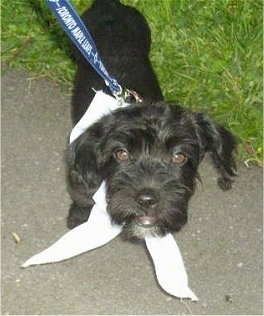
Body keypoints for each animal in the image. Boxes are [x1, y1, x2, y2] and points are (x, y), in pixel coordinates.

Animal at [66, 0, 235, 238]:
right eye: (121, 154)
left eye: (179, 157)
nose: (147, 200)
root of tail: (110, 5)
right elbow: (81, 196)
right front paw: (78, 216)